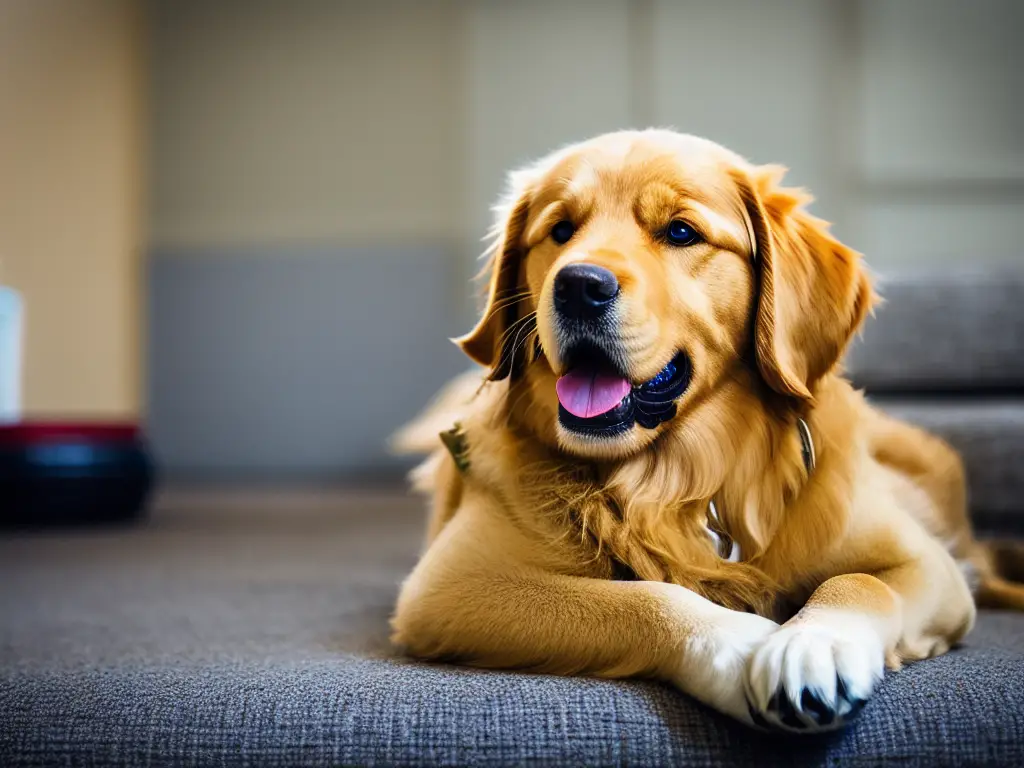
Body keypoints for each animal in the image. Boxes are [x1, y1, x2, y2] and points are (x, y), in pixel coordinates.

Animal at [385, 131, 1024, 733]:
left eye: (681, 232)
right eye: (561, 230)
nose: (579, 285)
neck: (673, 475)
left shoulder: (924, 566)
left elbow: (857, 583)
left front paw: (813, 646)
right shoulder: (451, 583)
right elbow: (644, 596)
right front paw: (742, 644)